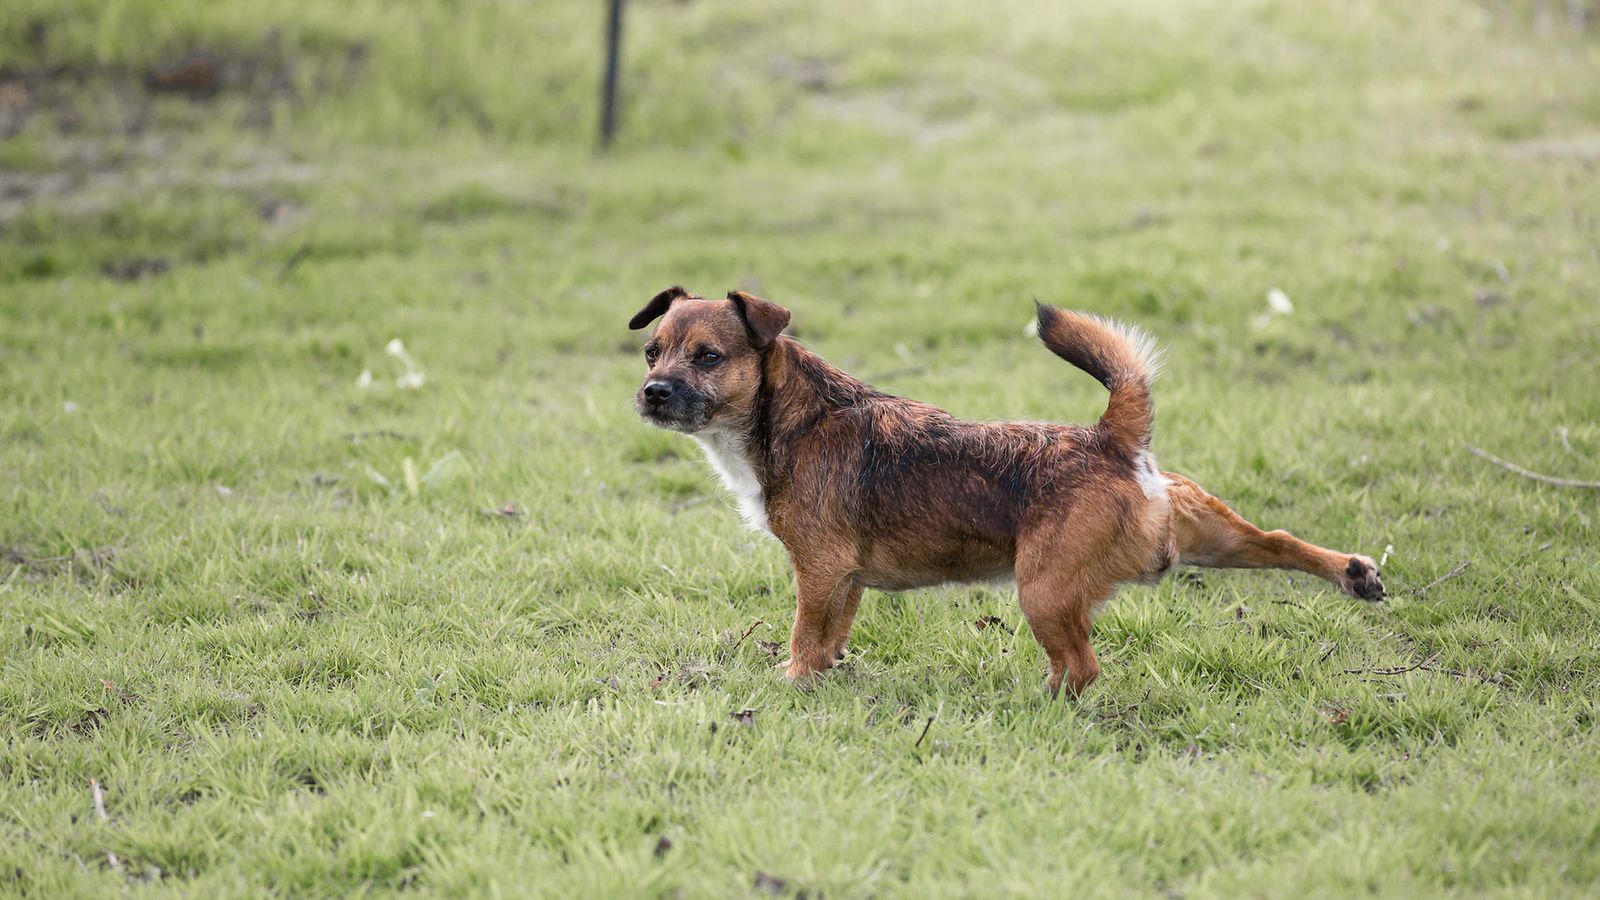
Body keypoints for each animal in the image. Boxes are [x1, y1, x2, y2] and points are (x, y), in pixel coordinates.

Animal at [630, 286, 1382, 695]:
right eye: (651, 351)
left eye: (708, 357)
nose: (652, 391)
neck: (790, 416)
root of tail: (1113, 440)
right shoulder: (842, 580)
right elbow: (830, 636)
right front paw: (824, 677)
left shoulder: (817, 571)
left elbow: (802, 636)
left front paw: (790, 686)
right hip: (1211, 535)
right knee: (1279, 540)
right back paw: (1354, 574)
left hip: (1043, 590)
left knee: (1081, 667)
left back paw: (1040, 703)